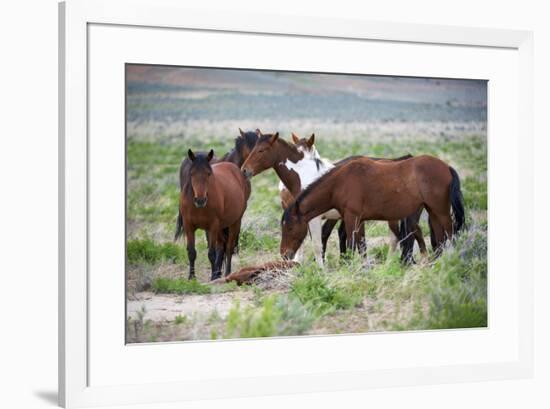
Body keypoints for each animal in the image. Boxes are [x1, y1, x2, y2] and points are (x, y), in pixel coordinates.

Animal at [179, 150, 252, 280]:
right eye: (191, 174)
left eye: (208, 174)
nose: (200, 200)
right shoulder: (189, 226)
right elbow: (191, 252)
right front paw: (191, 277)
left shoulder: (212, 227)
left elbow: (212, 253)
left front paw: (213, 277)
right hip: (221, 227)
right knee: (222, 245)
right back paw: (218, 272)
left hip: (235, 222)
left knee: (228, 248)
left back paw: (226, 273)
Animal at [280, 155, 466, 262]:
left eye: (289, 228)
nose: (284, 254)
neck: (340, 183)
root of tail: (446, 167)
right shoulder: (358, 220)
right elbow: (361, 246)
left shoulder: (352, 218)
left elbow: (352, 245)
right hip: (433, 212)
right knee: (440, 239)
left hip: (441, 212)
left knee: (450, 234)